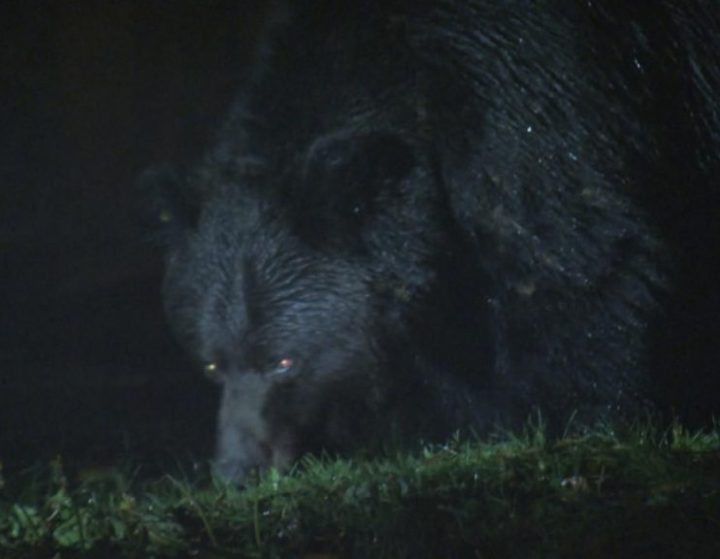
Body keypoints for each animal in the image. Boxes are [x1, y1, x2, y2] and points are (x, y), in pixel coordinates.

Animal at [148, 1, 720, 482]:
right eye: (212, 363)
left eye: (284, 362)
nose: (236, 474)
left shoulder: (533, 107)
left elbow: (578, 267)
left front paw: (588, 423)